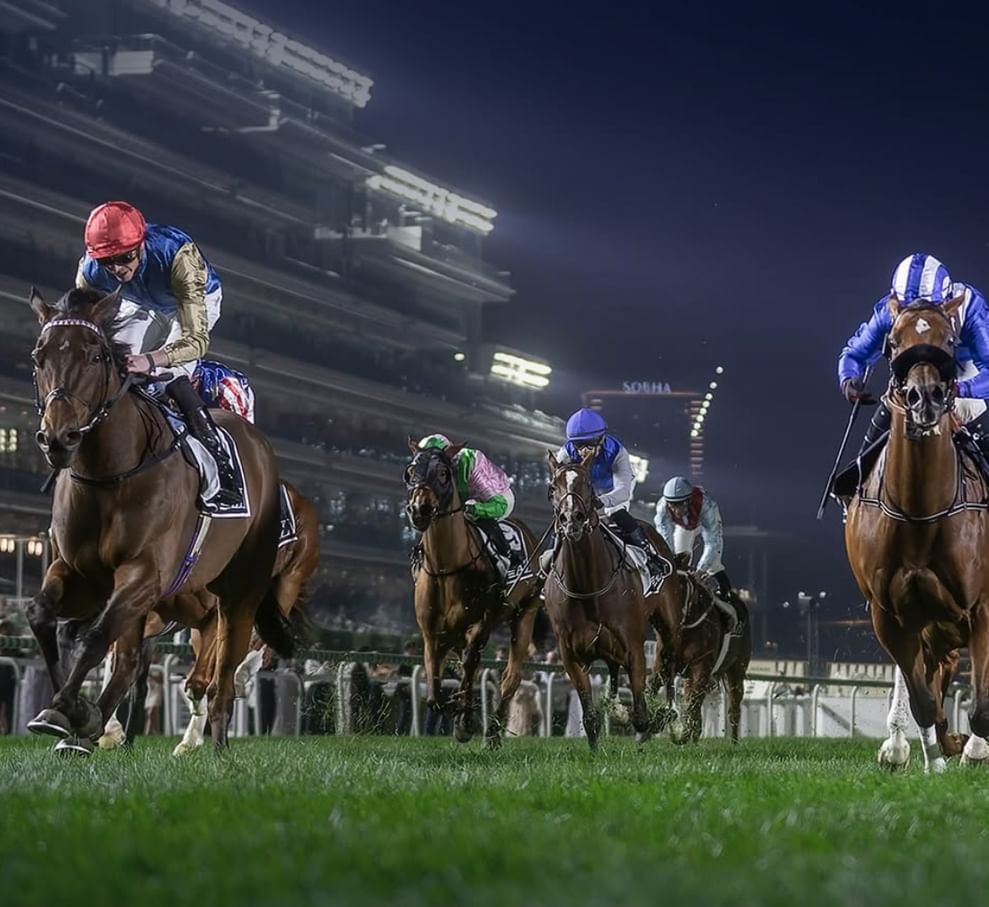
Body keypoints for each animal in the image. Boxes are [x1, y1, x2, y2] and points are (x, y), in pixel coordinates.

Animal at [26, 286, 289, 753]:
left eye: (96, 355)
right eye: (40, 356)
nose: (59, 438)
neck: (109, 474)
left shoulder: (145, 574)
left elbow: (95, 638)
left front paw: (76, 713)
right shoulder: (81, 573)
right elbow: (45, 619)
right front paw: (63, 714)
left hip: (239, 590)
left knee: (226, 668)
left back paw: (217, 744)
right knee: (133, 660)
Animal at [404, 442, 543, 746]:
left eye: (444, 473)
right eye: (410, 470)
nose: (420, 509)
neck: (446, 568)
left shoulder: (482, 621)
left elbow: (470, 663)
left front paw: (465, 721)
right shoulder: (432, 632)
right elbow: (434, 687)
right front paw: (455, 709)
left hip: (525, 613)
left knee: (511, 677)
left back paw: (492, 733)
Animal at [844, 295, 989, 772]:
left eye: (951, 340)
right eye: (892, 341)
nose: (924, 397)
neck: (921, 515)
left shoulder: (982, 607)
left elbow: (982, 703)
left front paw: (974, 750)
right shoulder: (889, 614)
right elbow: (923, 698)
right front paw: (928, 758)